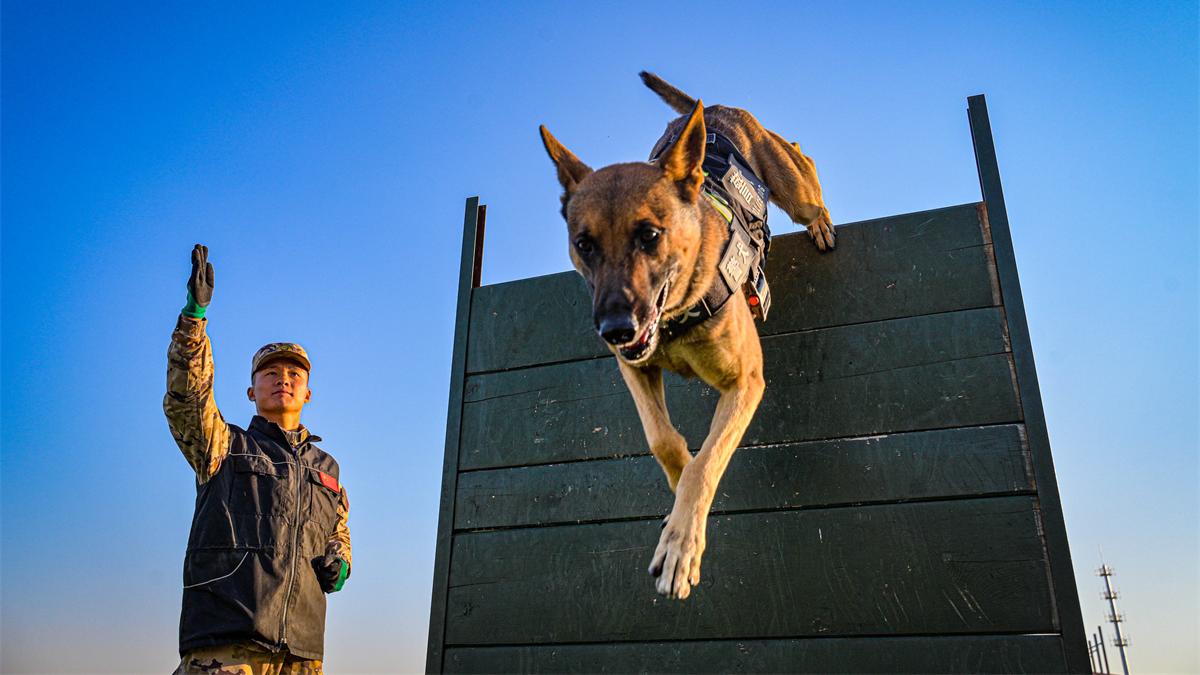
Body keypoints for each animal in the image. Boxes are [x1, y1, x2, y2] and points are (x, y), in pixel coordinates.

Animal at [537, 72, 835, 598]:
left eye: (650, 236)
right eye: (583, 245)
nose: (615, 331)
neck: (675, 313)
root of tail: (712, 108)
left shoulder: (745, 383)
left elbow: (705, 463)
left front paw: (682, 543)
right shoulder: (635, 368)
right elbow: (664, 440)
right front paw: (676, 506)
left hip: (794, 186)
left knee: (805, 164)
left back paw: (820, 220)